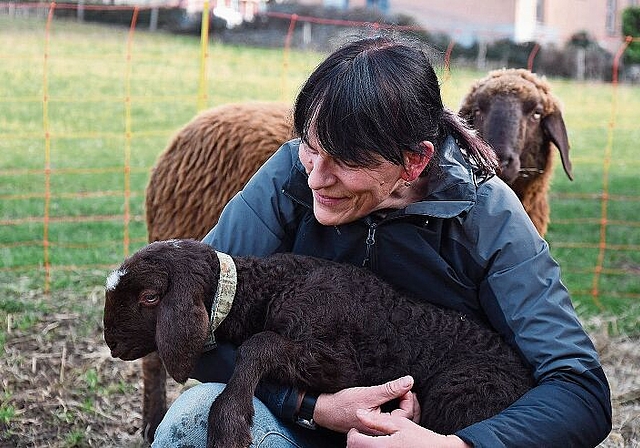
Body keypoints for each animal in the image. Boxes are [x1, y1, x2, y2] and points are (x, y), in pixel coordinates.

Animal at [104, 240, 536, 448]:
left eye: (149, 297)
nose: (111, 342)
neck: (267, 288)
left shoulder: (344, 365)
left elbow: (258, 345)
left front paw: (229, 423)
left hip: (463, 395)